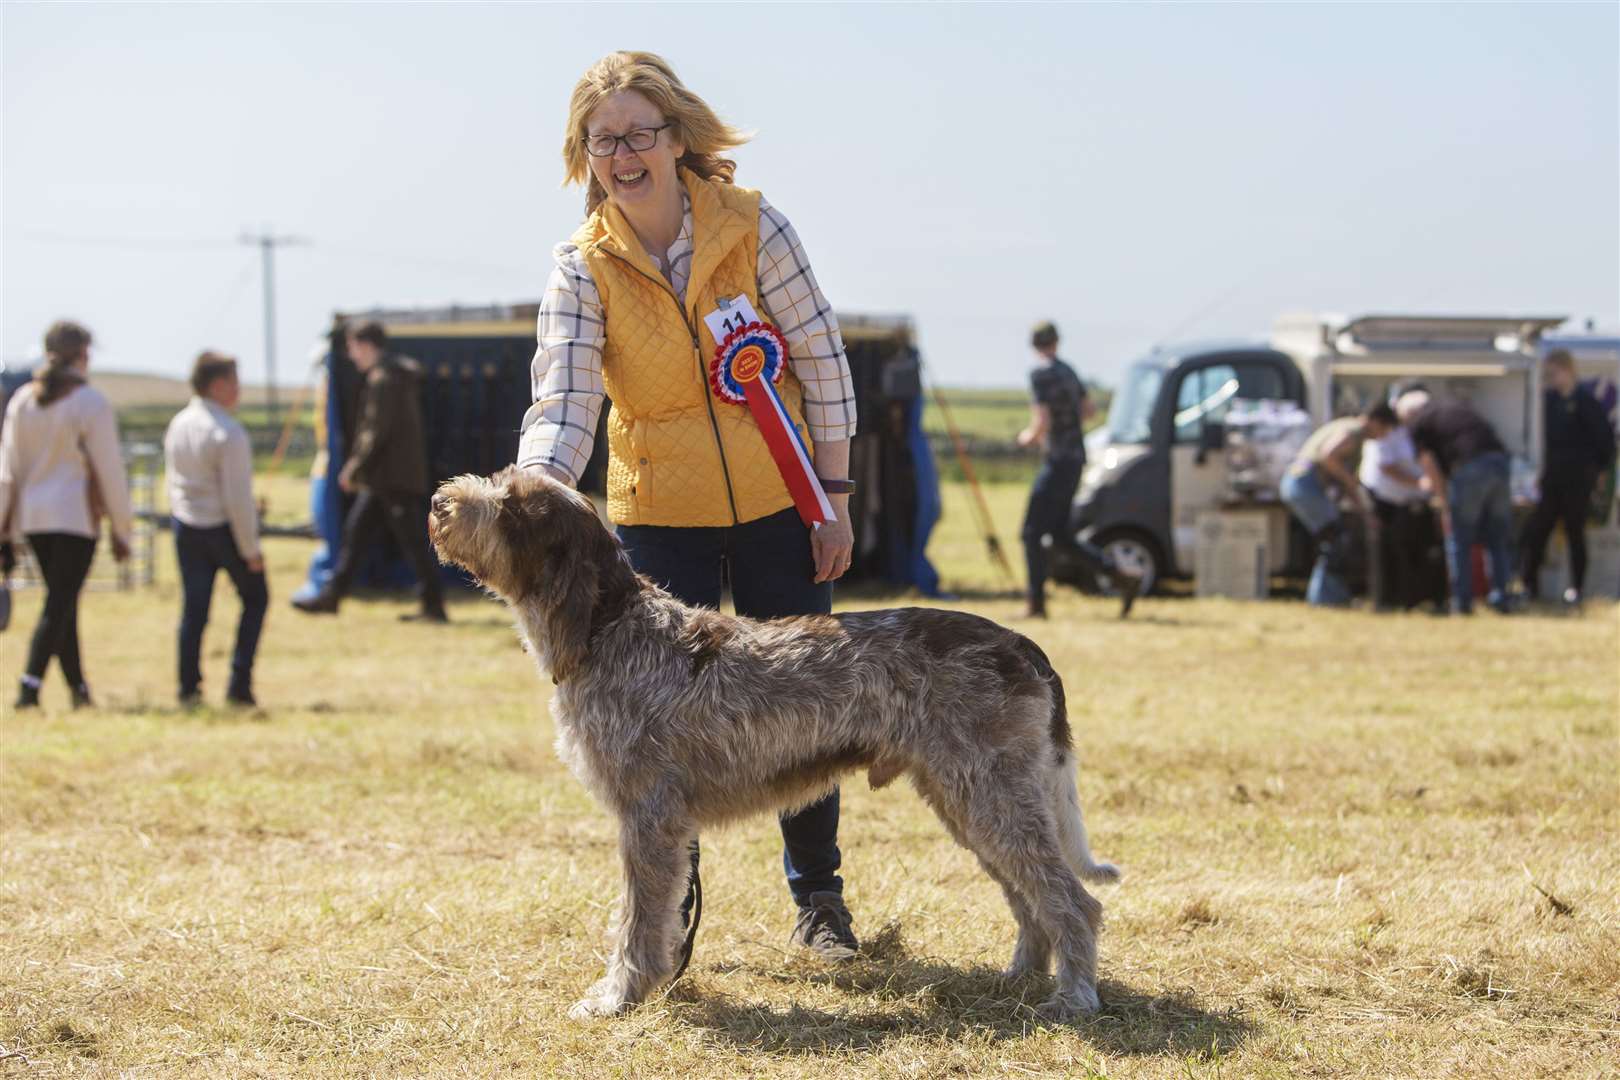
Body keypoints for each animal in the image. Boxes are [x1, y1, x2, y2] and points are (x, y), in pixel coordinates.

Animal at [427, 466, 1114, 1023]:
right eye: (502, 481)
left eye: (515, 506)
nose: (439, 501)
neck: (609, 628)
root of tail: (1021, 646)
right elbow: (656, 916)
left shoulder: (648, 818)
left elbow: (637, 920)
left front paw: (619, 997)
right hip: (968, 798)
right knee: (1028, 897)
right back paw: (1020, 976)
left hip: (990, 794)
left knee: (1072, 900)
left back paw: (1073, 995)